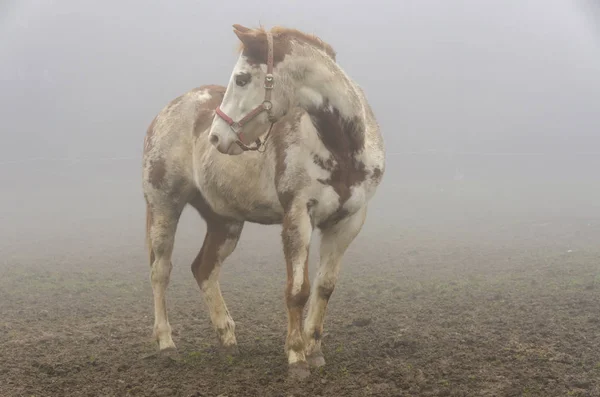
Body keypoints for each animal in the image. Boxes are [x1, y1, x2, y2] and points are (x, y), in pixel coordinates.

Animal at [142, 24, 384, 378]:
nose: (217, 137)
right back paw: (166, 344)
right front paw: (297, 357)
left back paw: (228, 340)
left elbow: (324, 287)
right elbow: (298, 290)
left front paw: (314, 351)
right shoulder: (298, 217)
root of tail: (167, 111)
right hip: (163, 206)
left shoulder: (348, 222)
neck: (341, 147)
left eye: (242, 78)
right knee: (160, 271)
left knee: (204, 269)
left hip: (225, 221)